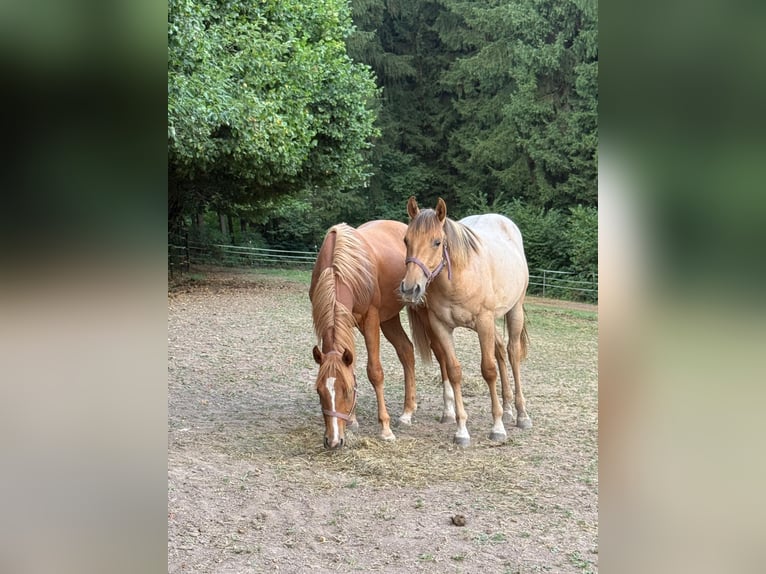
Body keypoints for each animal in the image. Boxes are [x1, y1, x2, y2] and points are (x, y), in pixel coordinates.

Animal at [309, 220, 445, 449]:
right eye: (319, 391)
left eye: (346, 391)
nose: (333, 441)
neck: (340, 268)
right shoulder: (348, 322)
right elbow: (351, 369)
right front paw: (352, 420)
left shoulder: (370, 319)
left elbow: (374, 372)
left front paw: (385, 428)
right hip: (389, 319)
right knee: (406, 350)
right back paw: (407, 411)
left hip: (422, 314)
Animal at [399, 196, 532, 447]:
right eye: (406, 240)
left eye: (437, 242)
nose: (410, 288)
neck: (459, 278)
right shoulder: (441, 327)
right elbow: (453, 371)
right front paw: (461, 429)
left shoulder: (484, 322)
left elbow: (488, 370)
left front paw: (497, 427)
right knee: (501, 350)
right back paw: (509, 409)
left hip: (514, 311)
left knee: (512, 353)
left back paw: (521, 414)